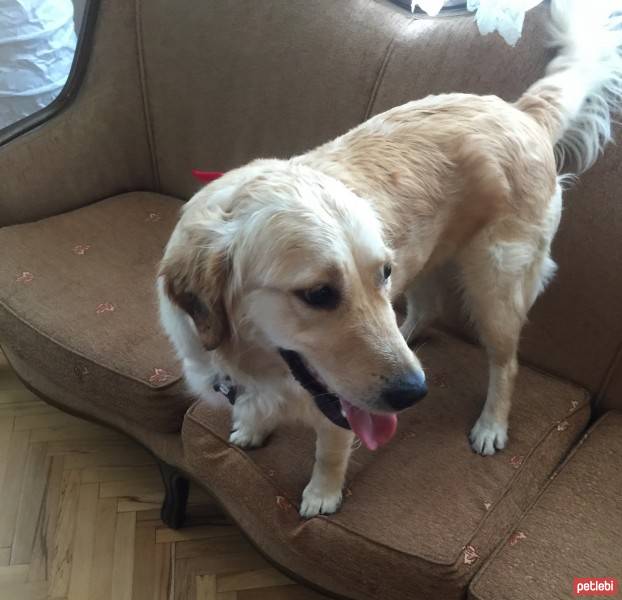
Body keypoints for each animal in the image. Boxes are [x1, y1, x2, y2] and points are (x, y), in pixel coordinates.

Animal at [157, 0, 622, 516]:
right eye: (318, 293)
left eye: (379, 274)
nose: (414, 393)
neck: (254, 363)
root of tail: (519, 112)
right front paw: (253, 427)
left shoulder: (340, 409)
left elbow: (330, 450)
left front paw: (322, 495)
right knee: (428, 309)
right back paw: (409, 332)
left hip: (497, 284)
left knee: (506, 363)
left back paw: (491, 425)